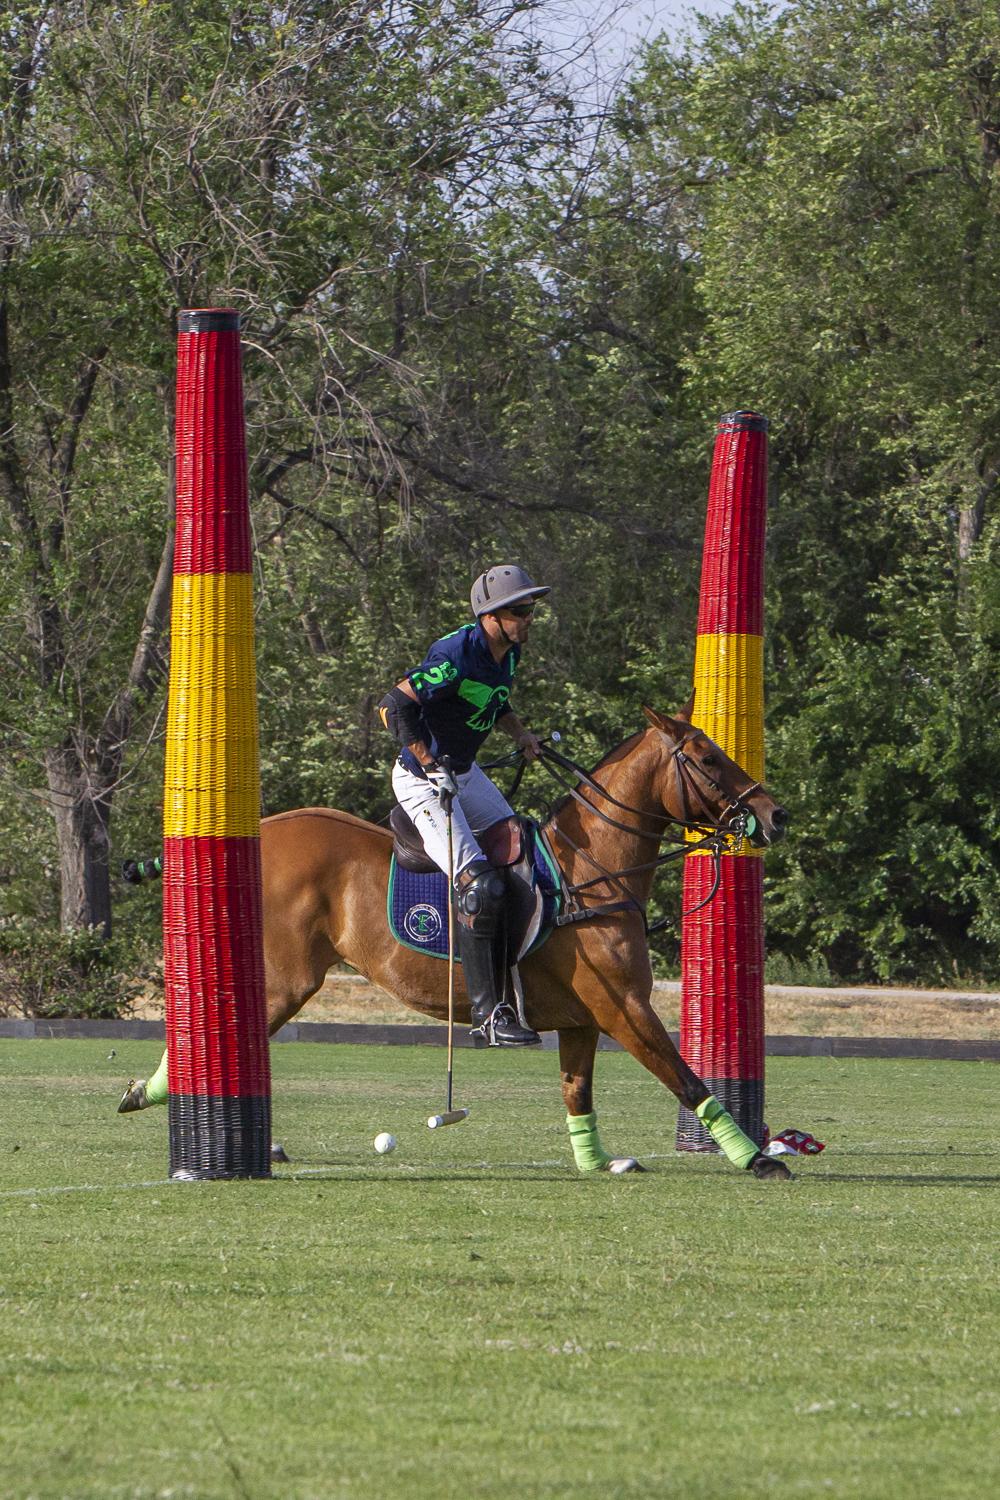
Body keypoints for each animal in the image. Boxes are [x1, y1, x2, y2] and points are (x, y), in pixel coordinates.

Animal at [256, 702, 791, 1182]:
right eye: (707, 758)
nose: (776, 815)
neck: (590, 872)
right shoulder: (623, 1006)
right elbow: (686, 1080)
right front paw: (758, 1159)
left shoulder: (582, 1020)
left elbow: (577, 1090)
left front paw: (598, 1161)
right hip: (286, 982)